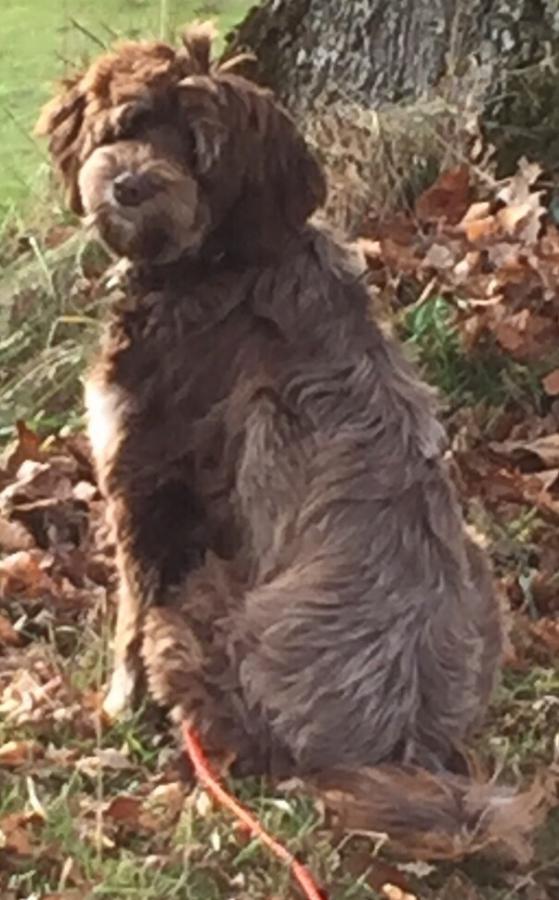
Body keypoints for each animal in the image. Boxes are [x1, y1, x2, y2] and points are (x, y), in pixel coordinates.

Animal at [36, 24, 544, 859]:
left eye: (199, 150)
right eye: (132, 121)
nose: (131, 185)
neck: (216, 262)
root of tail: (401, 744)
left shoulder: (143, 481)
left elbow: (127, 621)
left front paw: (113, 710)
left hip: (198, 620)